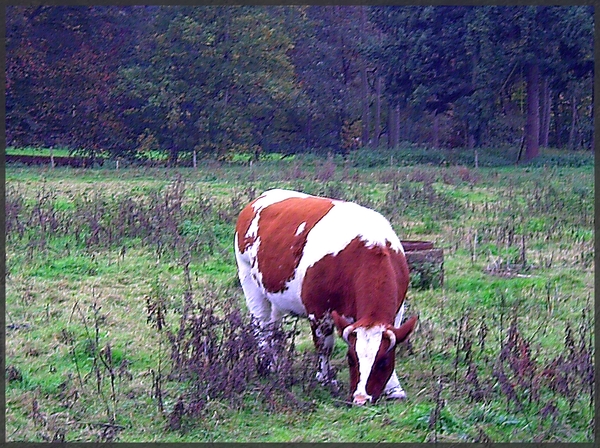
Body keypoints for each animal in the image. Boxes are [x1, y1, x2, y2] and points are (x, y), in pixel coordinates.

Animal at [234, 187, 418, 404]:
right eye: (351, 359)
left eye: (382, 362)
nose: (360, 399)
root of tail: (261, 198)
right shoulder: (319, 311)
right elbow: (324, 346)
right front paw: (326, 379)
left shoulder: (398, 309)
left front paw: (394, 388)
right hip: (248, 279)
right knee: (260, 325)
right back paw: (266, 364)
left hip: (274, 294)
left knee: (273, 327)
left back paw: (275, 363)